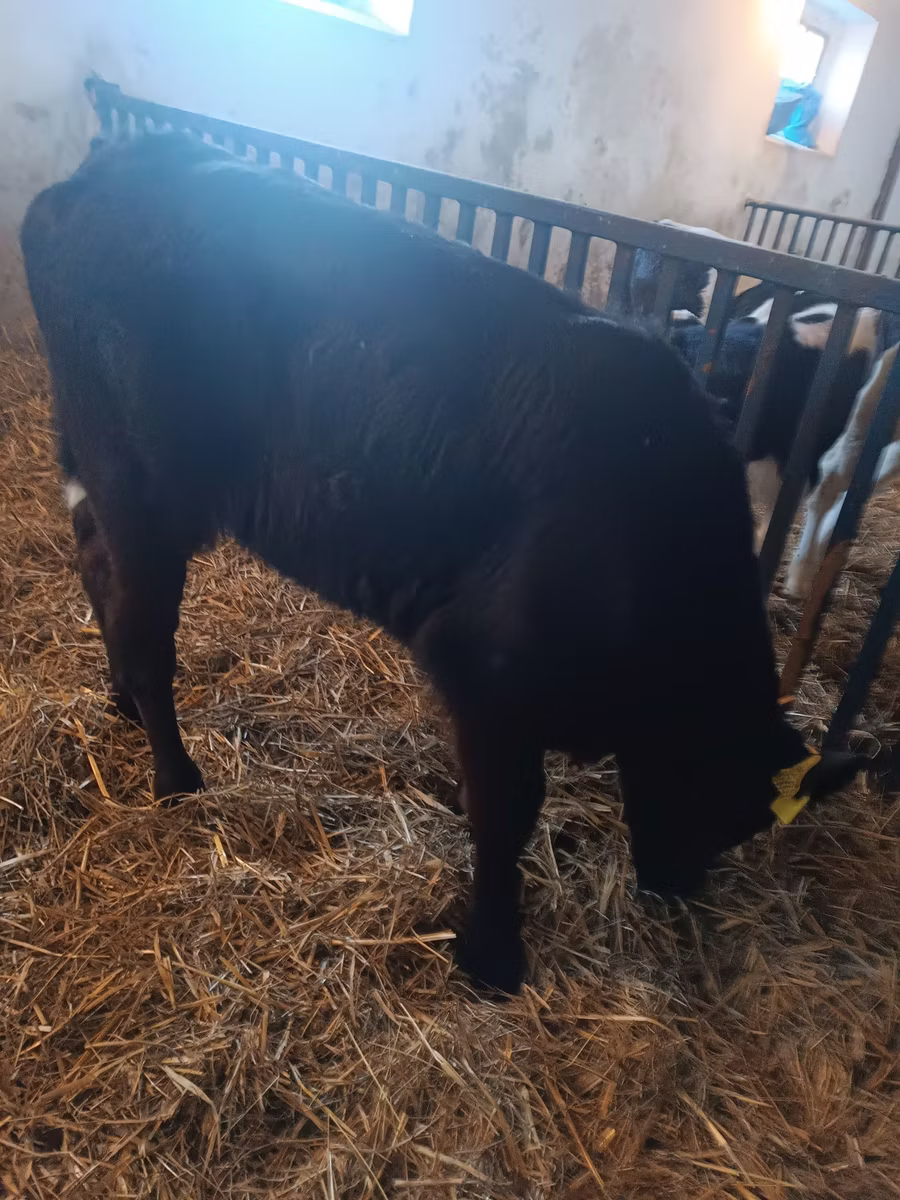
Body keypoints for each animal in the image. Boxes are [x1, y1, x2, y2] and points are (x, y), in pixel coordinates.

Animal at [21, 132, 866, 994]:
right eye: (715, 797)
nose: (675, 883)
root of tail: (110, 164)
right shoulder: (488, 668)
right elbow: (507, 812)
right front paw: (492, 952)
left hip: (105, 474)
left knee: (100, 571)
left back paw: (122, 700)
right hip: (143, 486)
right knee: (146, 626)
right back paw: (175, 775)